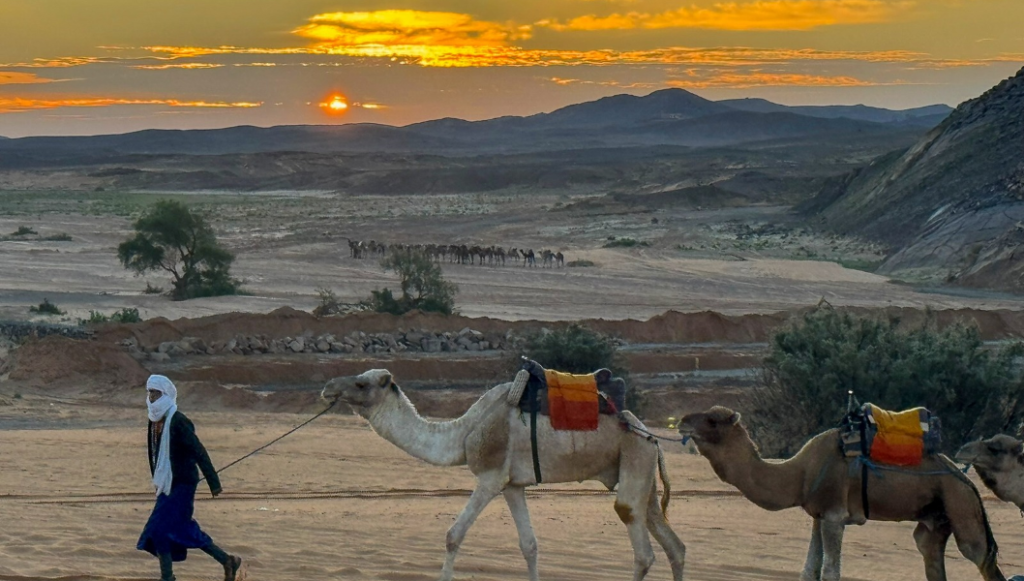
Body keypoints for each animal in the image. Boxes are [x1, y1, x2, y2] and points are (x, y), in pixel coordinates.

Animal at [321, 369, 686, 581]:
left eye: (361, 383)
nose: (327, 387)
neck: (464, 432)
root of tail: (651, 436)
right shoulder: (513, 484)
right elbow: (529, 545)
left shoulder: (491, 477)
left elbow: (453, 535)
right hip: (640, 470)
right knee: (672, 544)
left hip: (635, 456)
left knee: (639, 542)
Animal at [678, 406, 1004, 581]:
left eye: (712, 420)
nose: (681, 421)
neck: (800, 474)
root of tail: (966, 480)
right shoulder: (818, 515)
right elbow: (809, 571)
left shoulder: (835, 515)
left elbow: (829, 572)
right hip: (936, 520)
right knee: (930, 552)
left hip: (960, 506)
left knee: (980, 557)